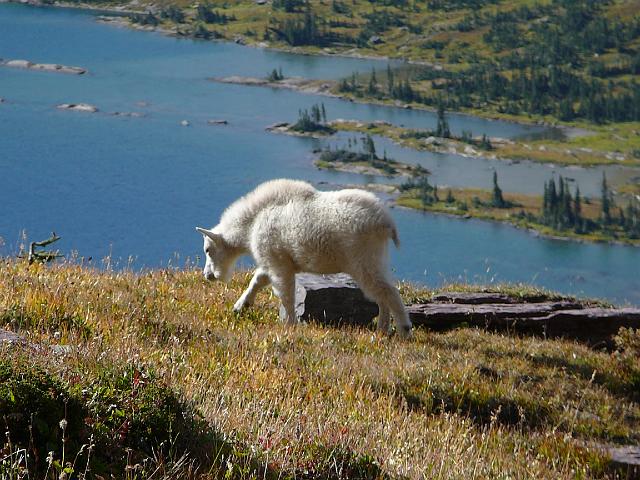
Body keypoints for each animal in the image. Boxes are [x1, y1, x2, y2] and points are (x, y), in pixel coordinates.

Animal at [196, 179, 413, 338]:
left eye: (207, 249)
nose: (208, 275)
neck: (252, 223)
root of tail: (386, 222)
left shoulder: (277, 261)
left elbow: (285, 293)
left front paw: (290, 324)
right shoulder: (274, 259)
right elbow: (257, 280)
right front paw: (240, 306)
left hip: (363, 259)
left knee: (388, 291)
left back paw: (404, 330)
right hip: (378, 258)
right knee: (383, 293)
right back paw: (382, 330)